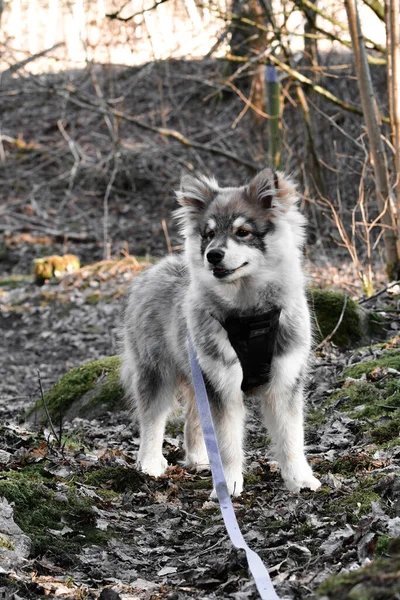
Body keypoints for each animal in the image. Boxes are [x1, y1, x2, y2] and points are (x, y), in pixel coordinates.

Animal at [120, 169, 320, 496]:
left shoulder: (284, 382)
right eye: (209, 234)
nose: (213, 255)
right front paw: (228, 485)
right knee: (152, 420)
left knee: (194, 420)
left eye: (243, 232)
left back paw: (200, 459)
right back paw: (149, 463)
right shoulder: (223, 385)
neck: (250, 314)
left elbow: (292, 439)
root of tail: (155, 268)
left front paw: (300, 479)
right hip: (157, 373)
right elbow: (227, 444)